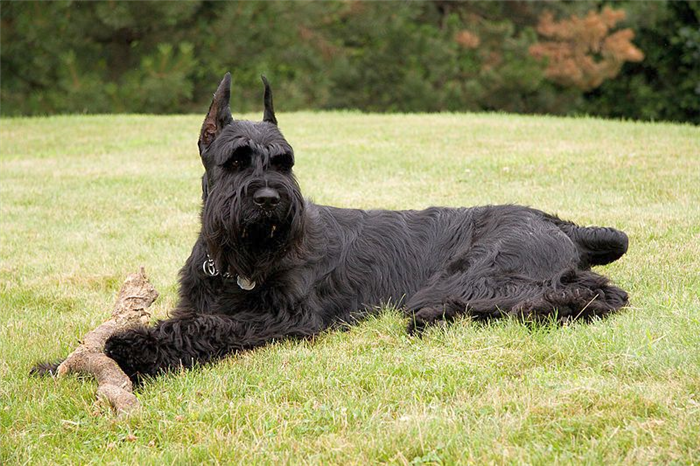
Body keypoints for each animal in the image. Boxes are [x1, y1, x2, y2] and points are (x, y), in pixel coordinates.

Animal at [35, 72, 632, 378]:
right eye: (236, 160)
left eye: (285, 162)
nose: (270, 199)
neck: (237, 262)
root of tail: (560, 224)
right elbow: (187, 320)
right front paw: (58, 363)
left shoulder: (285, 317)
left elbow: (205, 329)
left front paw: (129, 352)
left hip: (477, 276)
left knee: (586, 295)